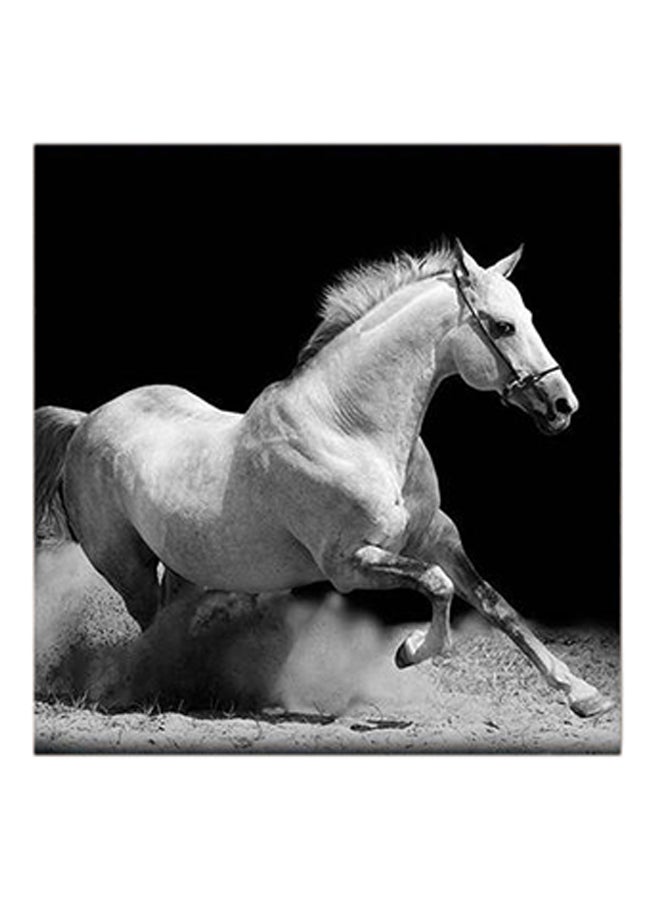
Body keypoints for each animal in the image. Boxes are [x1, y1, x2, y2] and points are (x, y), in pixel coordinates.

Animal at [35, 237, 614, 718]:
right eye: (502, 326)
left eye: (527, 316)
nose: (562, 405)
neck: (350, 430)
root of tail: (86, 420)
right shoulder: (348, 563)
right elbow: (438, 585)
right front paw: (408, 651)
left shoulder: (438, 537)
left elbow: (497, 606)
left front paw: (586, 695)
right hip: (126, 565)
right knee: (149, 624)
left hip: (187, 565)